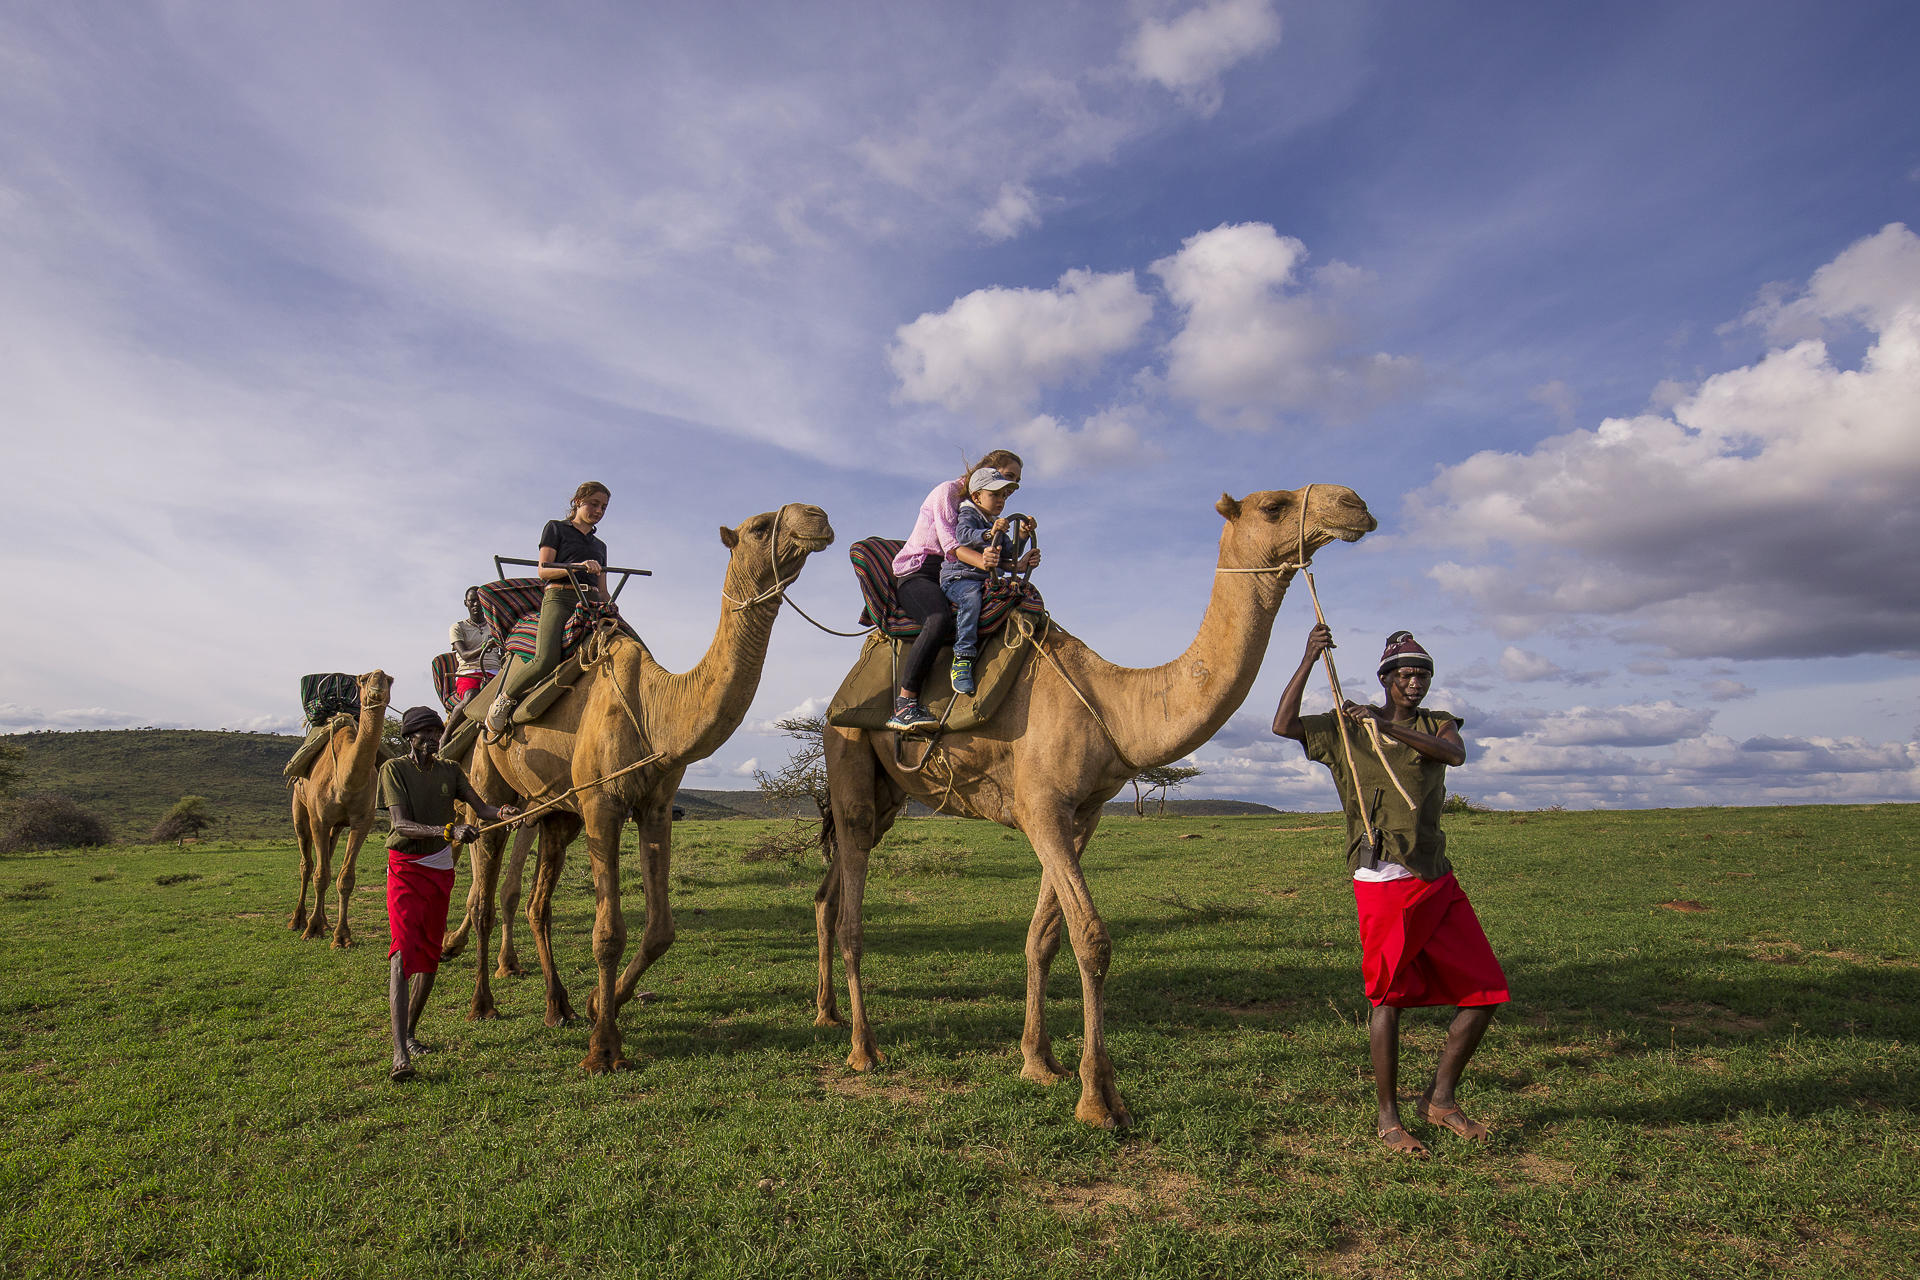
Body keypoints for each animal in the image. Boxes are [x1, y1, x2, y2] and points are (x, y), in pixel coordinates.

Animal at [288, 675, 393, 948]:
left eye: (389, 680)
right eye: (364, 679)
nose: (377, 689)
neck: (345, 781)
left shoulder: (362, 822)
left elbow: (345, 878)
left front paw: (341, 935)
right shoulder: (319, 819)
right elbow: (320, 875)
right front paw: (312, 928)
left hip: (335, 827)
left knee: (326, 857)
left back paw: (325, 921)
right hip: (299, 810)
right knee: (307, 864)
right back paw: (297, 920)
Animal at [456, 498, 840, 1074]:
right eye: (758, 526)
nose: (816, 515)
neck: (659, 710)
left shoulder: (654, 806)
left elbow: (661, 930)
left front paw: (599, 1004)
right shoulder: (602, 804)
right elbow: (608, 933)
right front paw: (603, 1049)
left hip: (556, 813)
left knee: (537, 905)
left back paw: (558, 1006)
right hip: (490, 791)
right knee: (483, 895)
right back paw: (483, 1003)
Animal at [817, 487, 1374, 1128]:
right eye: (1275, 506)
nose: (1353, 503)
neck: (1112, 701)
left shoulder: (1082, 813)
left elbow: (1044, 938)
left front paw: (1039, 1063)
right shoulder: (1041, 807)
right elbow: (1092, 939)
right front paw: (1099, 1098)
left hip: (891, 793)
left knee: (832, 888)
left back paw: (827, 1013)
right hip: (848, 753)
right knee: (852, 907)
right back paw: (863, 1048)